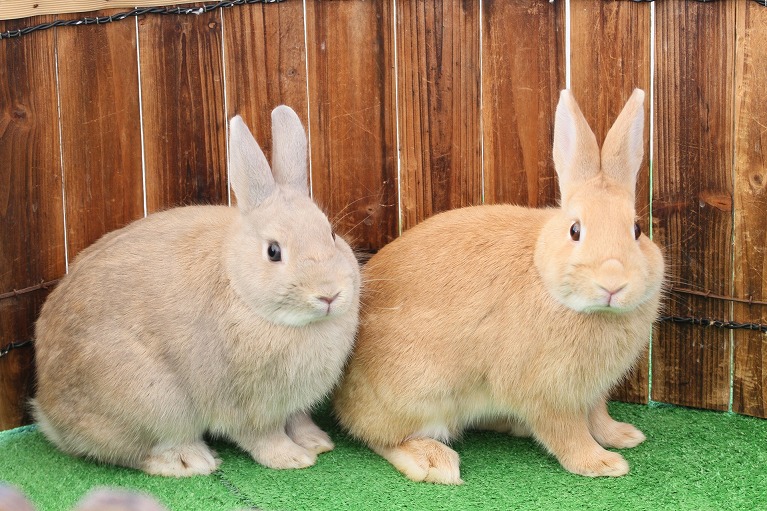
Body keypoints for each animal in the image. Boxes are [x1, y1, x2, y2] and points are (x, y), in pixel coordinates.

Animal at [31, 106, 362, 478]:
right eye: (273, 251)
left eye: (331, 234)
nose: (329, 295)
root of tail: (48, 414)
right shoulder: (247, 406)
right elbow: (263, 436)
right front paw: (293, 458)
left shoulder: (292, 405)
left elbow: (299, 420)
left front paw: (317, 442)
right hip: (157, 403)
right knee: (137, 452)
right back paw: (191, 461)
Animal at [336, 90, 664, 486]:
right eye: (575, 230)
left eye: (637, 230)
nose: (613, 283)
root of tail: (342, 396)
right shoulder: (548, 393)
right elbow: (567, 432)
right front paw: (602, 464)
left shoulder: (591, 391)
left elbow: (597, 416)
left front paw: (623, 436)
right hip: (420, 394)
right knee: (379, 436)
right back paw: (433, 462)